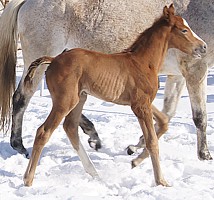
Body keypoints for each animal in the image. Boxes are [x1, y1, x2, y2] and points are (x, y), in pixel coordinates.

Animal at [23, 3, 207, 187]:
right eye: (184, 30)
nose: (204, 46)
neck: (142, 62)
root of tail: (53, 60)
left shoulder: (142, 102)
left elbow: (163, 122)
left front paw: (135, 159)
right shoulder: (140, 106)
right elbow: (152, 141)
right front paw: (161, 181)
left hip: (80, 98)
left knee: (70, 128)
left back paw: (94, 172)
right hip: (65, 101)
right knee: (43, 132)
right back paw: (28, 180)